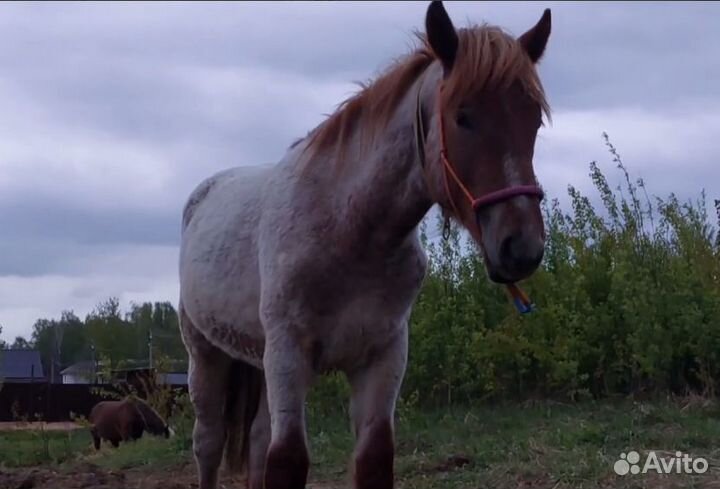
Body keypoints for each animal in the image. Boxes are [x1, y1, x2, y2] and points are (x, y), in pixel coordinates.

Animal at [179, 1, 552, 486]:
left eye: (533, 120)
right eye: (462, 116)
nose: (521, 247)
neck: (349, 233)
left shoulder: (382, 357)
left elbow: (372, 456)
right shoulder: (287, 354)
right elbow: (288, 458)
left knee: (257, 439)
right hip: (205, 355)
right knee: (208, 443)